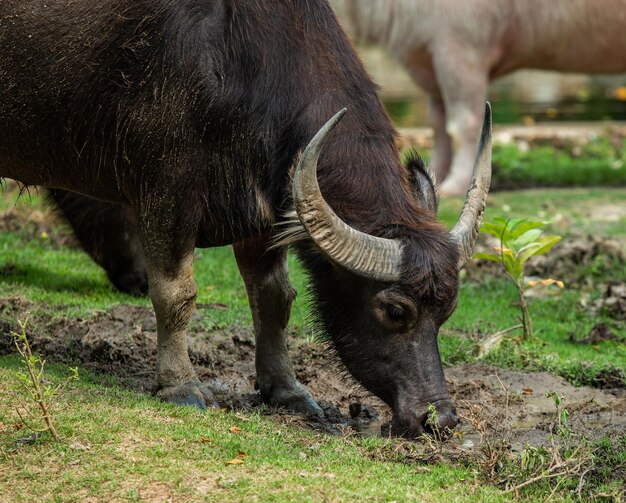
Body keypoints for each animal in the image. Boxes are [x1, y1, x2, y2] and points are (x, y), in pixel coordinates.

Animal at [0, 0, 488, 438]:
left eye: (447, 310)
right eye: (395, 310)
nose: (439, 420)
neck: (231, 53)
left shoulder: (262, 211)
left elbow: (275, 298)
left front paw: (286, 390)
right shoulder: (165, 189)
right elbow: (176, 294)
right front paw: (181, 385)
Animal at [330, 0, 624, 196]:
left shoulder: (460, 52)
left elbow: (463, 125)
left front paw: (454, 185)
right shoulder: (433, 65)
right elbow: (439, 126)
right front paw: (435, 177)